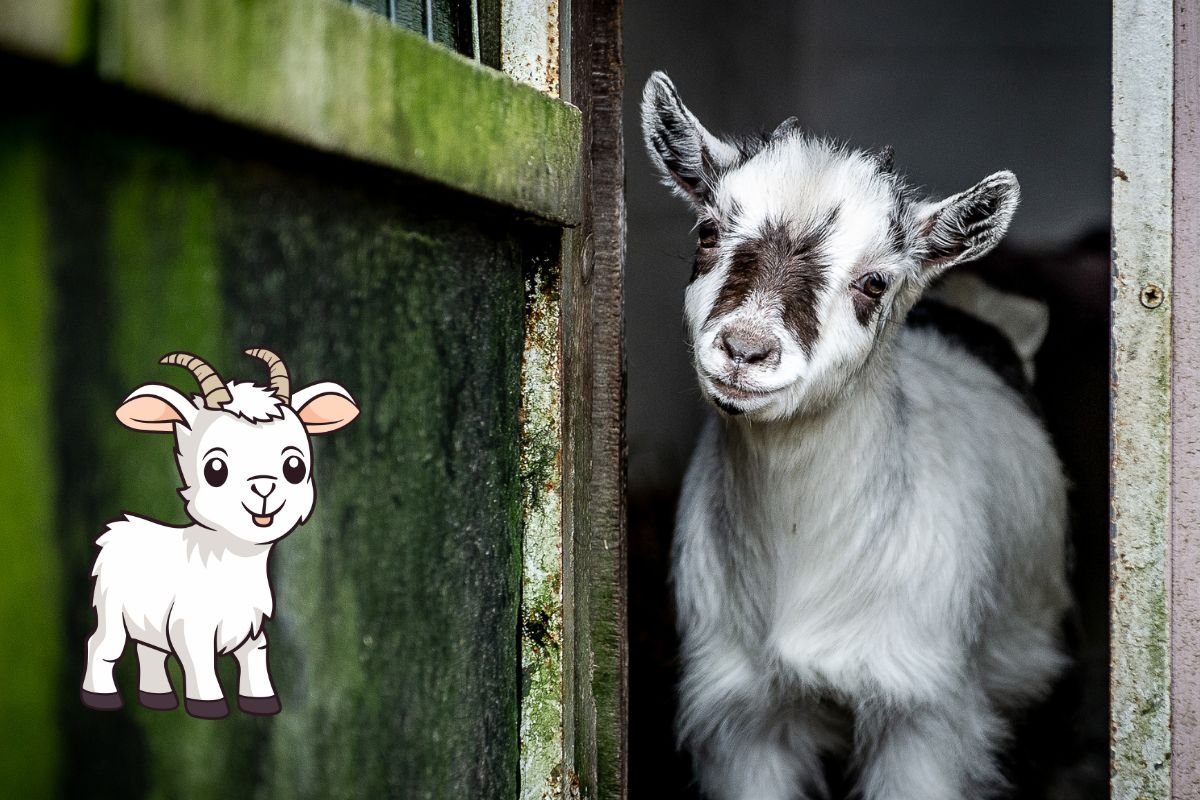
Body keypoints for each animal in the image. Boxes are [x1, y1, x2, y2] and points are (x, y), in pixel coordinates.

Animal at [81, 347, 355, 719]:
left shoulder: (252, 629)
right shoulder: (190, 627)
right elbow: (201, 667)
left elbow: (256, 662)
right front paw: (208, 707)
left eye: (294, 466)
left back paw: (158, 698)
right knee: (102, 645)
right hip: (110, 607)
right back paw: (102, 697)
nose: (264, 488)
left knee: (149, 651)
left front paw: (262, 703)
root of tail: (118, 527)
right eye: (215, 469)